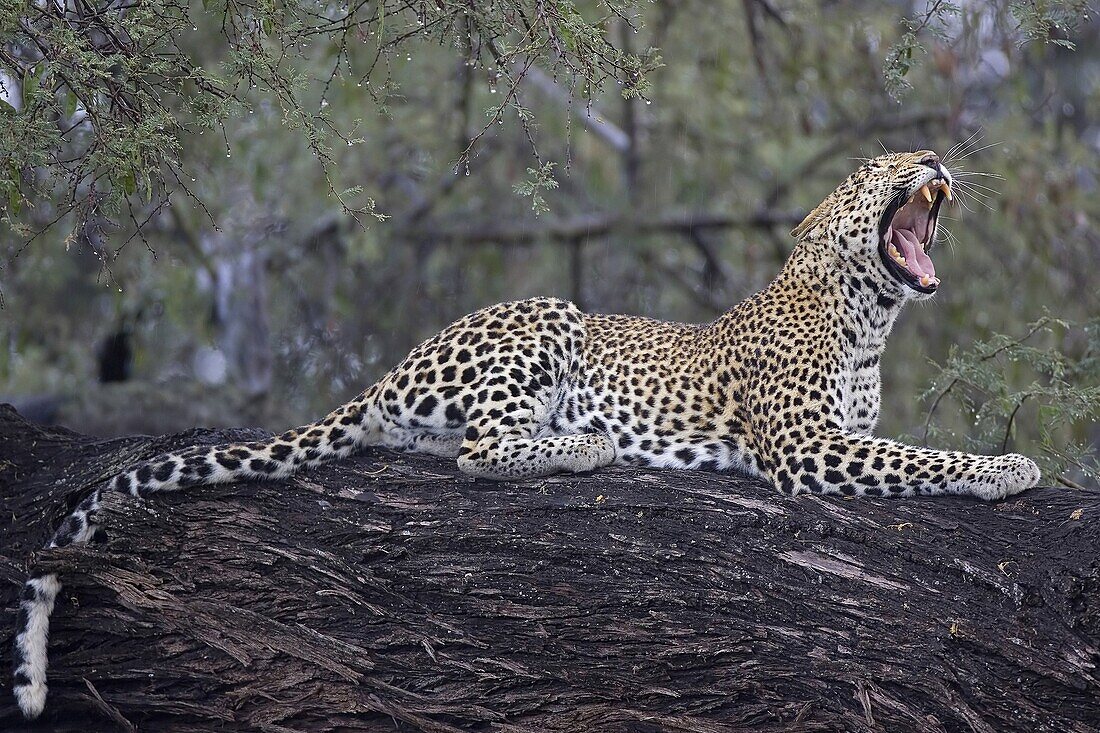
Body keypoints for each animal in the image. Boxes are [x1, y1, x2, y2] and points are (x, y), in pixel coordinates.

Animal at [10, 147, 1038, 713]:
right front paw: (1009, 467)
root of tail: (389, 370)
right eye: (881, 169)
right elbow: (916, 454)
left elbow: (902, 444)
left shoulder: (842, 430)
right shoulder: (809, 448)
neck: (869, 319)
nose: (935, 163)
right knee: (479, 451)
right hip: (546, 315)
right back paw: (587, 442)